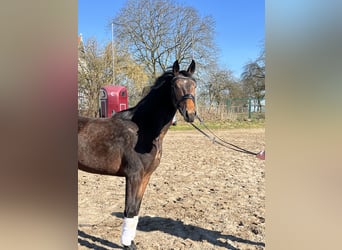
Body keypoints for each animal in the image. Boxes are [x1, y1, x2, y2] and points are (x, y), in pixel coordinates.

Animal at [77, 59, 195, 249]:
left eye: (194, 85)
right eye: (175, 86)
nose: (190, 114)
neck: (143, 128)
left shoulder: (145, 176)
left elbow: (136, 208)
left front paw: (130, 242)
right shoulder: (133, 175)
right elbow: (130, 209)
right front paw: (127, 244)